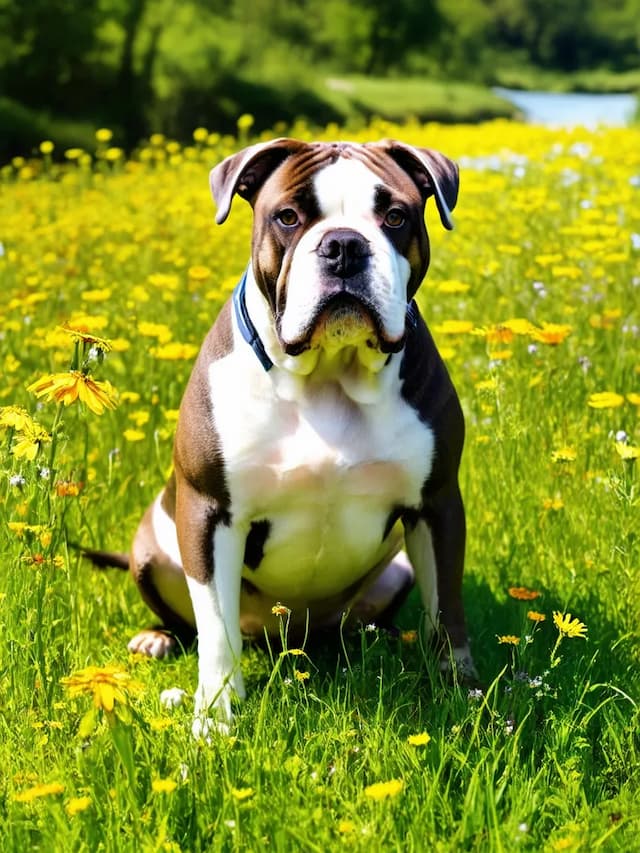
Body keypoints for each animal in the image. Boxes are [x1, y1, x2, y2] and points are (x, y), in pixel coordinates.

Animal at [92, 138, 478, 732]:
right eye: (288, 217)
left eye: (395, 216)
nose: (343, 245)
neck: (330, 376)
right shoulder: (209, 513)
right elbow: (216, 628)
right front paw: (215, 715)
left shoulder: (436, 505)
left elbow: (448, 611)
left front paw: (461, 692)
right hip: (151, 550)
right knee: (194, 623)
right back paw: (158, 638)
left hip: (396, 567)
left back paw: (386, 637)